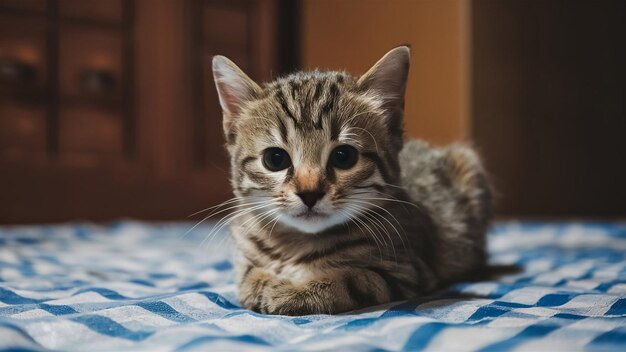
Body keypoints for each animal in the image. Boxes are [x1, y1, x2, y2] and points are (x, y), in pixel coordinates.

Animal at [212, 46, 490, 316]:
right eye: (275, 159)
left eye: (344, 157)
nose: (309, 193)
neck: (297, 244)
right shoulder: (244, 253)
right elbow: (247, 274)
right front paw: (262, 284)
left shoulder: (407, 270)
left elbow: (347, 279)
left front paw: (291, 292)